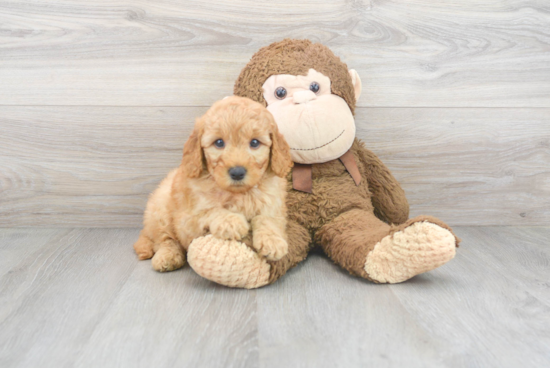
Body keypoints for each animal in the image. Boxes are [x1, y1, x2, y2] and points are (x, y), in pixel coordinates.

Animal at [133, 96, 294, 272]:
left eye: (254, 143)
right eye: (219, 143)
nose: (237, 172)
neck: (239, 193)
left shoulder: (273, 204)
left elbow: (267, 218)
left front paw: (273, 241)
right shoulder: (187, 221)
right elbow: (211, 211)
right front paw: (231, 221)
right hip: (160, 208)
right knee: (164, 239)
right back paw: (167, 256)